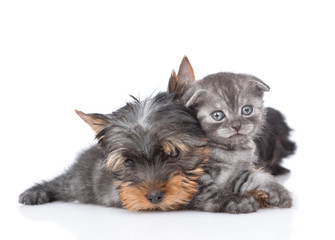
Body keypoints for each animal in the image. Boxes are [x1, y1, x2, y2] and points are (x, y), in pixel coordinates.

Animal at [19, 93, 209, 211]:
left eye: (173, 153)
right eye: (128, 162)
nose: (154, 197)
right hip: (80, 183)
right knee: (62, 184)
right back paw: (35, 192)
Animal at [169, 57, 292, 213]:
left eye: (246, 110)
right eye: (217, 115)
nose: (237, 125)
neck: (231, 152)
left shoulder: (238, 174)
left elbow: (256, 177)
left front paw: (278, 191)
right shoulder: (192, 176)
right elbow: (209, 192)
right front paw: (235, 200)